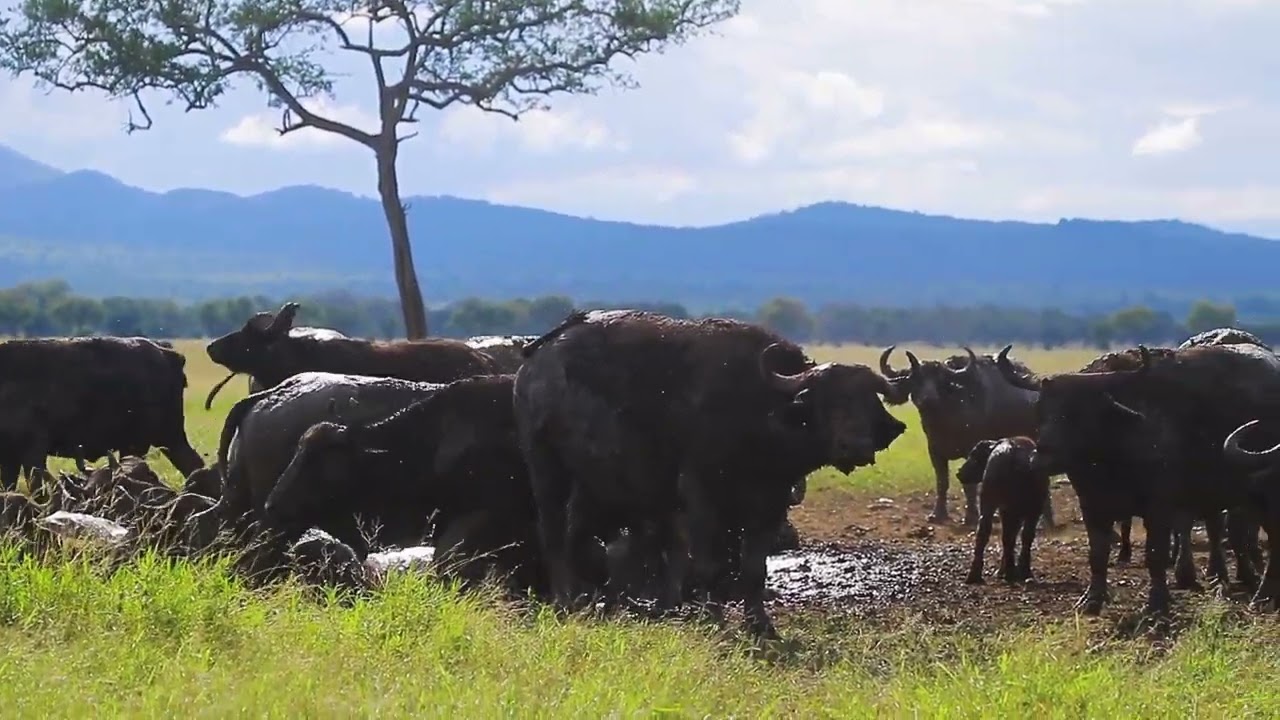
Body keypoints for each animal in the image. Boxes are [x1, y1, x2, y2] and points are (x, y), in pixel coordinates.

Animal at [0, 335, 204, 489]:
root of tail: (166, 353)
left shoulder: (32, 452)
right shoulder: (10, 457)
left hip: (146, 441)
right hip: (167, 438)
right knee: (193, 465)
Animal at [512, 307, 911, 632]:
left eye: (867, 400)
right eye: (826, 401)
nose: (854, 445)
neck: (759, 412)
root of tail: (537, 358)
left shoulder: (771, 504)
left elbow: (754, 569)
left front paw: (760, 625)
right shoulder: (700, 497)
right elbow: (709, 564)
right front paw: (713, 619)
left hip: (591, 481)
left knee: (577, 533)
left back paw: (589, 600)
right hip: (545, 464)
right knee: (552, 533)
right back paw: (564, 601)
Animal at [880, 340, 1049, 520]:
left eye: (940, 380)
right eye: (916, 379)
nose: (928, 399)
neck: (946, 421)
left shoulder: (971, 450)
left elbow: (970, 485)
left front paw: (971, 516)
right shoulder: (935, 451)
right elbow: (942, 482)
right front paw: (938, 514)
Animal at [998, 340, 1280, 617]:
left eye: (1078, 412)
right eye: (1041, 409)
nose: (1042, 459)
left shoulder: (1159, 507)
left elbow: (1155, 555)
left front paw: (1156, 605)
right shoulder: (1091, 505)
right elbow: (1097, 554)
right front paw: (1091, 600)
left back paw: (1262, 595)